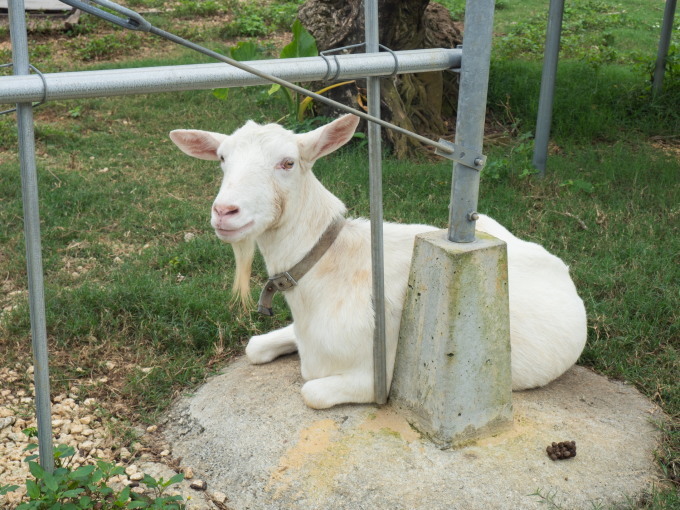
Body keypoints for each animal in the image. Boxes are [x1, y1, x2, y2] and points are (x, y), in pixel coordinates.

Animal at [167, 113, 588, 408]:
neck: (331, 268)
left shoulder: (379, 378)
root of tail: (560, 267)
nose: (225, 212)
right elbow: (254, 347)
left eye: (287, 162)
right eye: (222, 158)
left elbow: (311, 391)